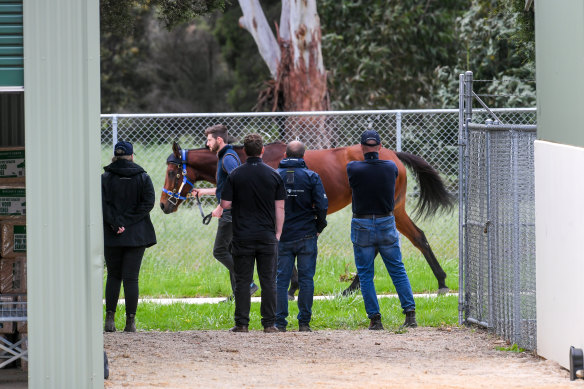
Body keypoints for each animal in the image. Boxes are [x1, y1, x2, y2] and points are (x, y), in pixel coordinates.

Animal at [162, 141, 454, 296]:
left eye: (173, 173)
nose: (165, 205)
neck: (253, 161)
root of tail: (393, 155)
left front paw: (288, 288)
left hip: (387, 208)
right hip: (393, 209)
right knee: (416, 237)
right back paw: (439, 282)